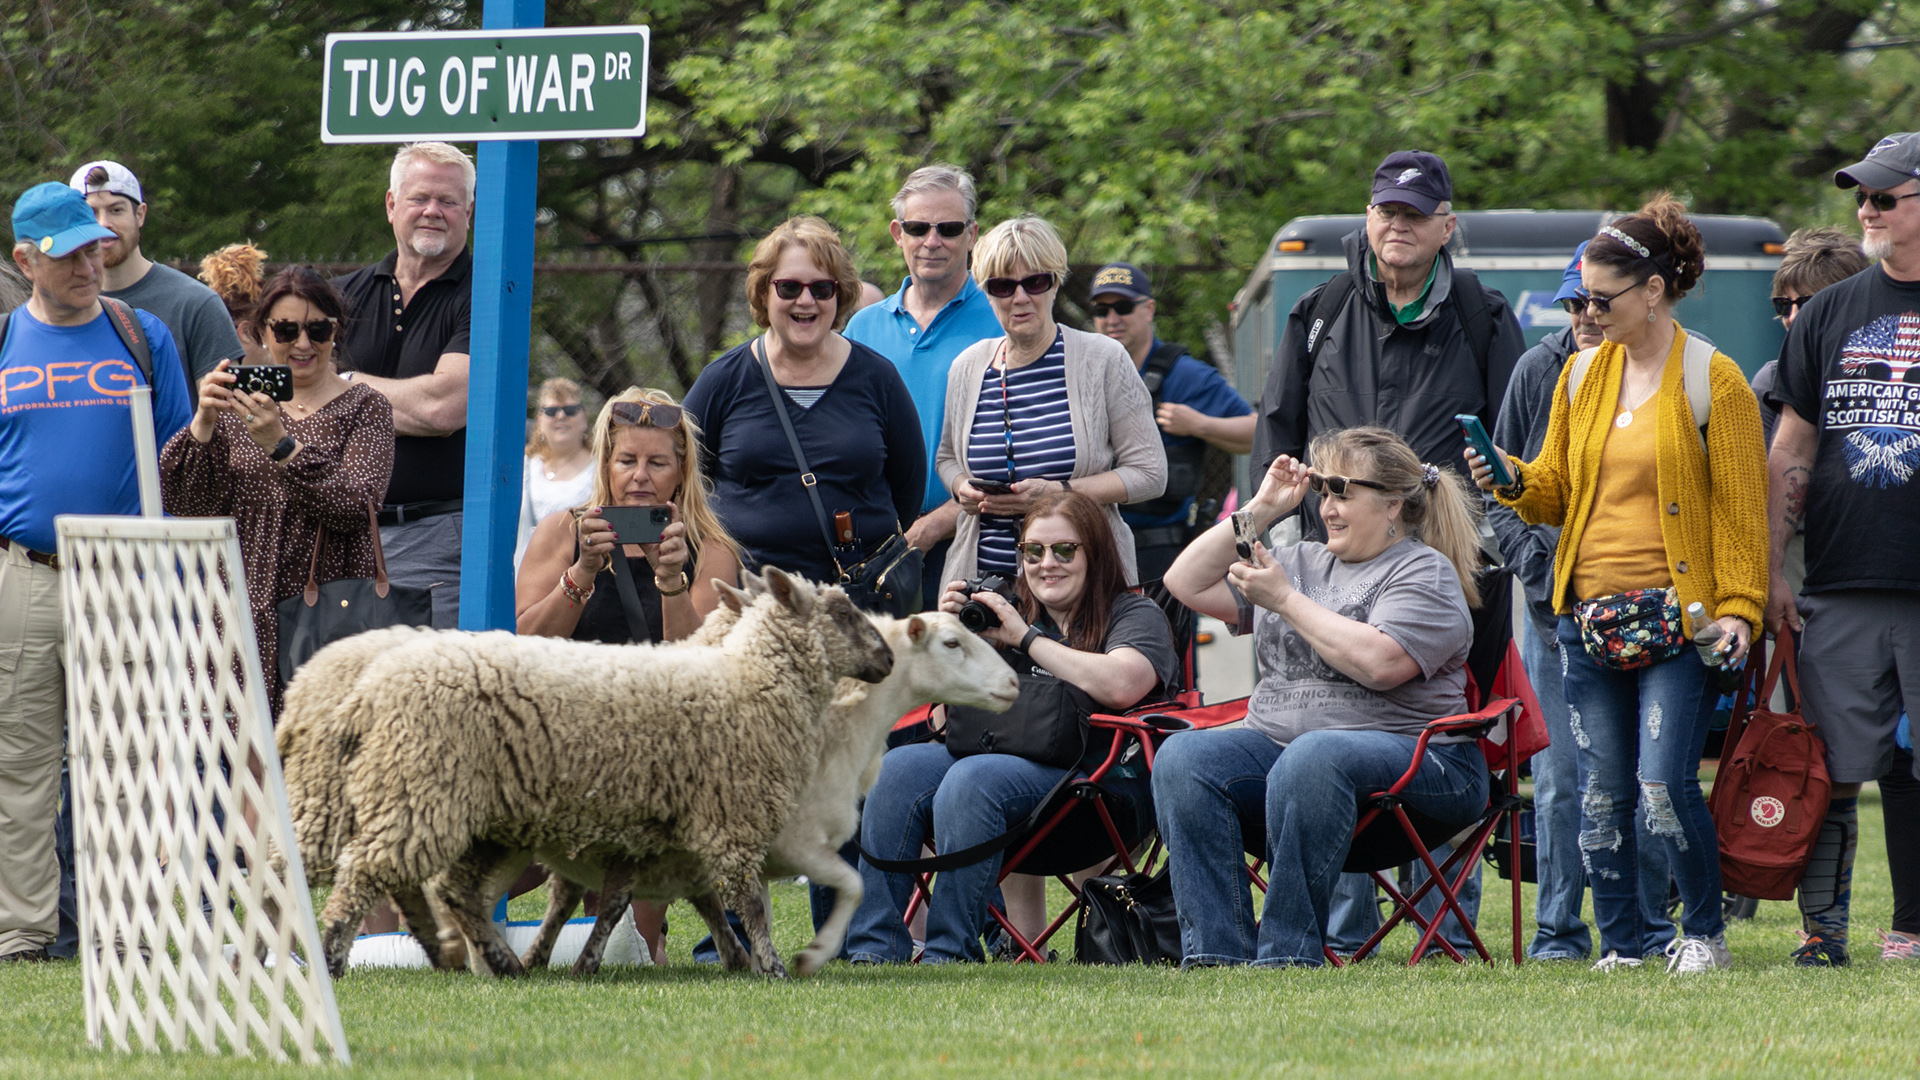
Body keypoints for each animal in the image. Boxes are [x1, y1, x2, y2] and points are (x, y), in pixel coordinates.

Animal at [304, 567, 892, 978]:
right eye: (842, 613)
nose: (886, 658)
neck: (748, 680)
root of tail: (367, 691)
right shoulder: (729, 816)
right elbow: (746, 902)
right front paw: (769, 966)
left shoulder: (644, 832)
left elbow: (628, 903)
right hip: (418, 790)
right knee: (365, 874)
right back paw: (334, 956)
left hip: (461, 811)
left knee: (448, 889)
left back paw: (490, 960)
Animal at [517, 606, 1020, 976]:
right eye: (951, 643)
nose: (1014, 682)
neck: (840, 725)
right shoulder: (788, 843)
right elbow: (851, 885)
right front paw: (805, 957)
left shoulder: (750, 849)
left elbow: (761, 909)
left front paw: (764, 963)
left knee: (573, 897)